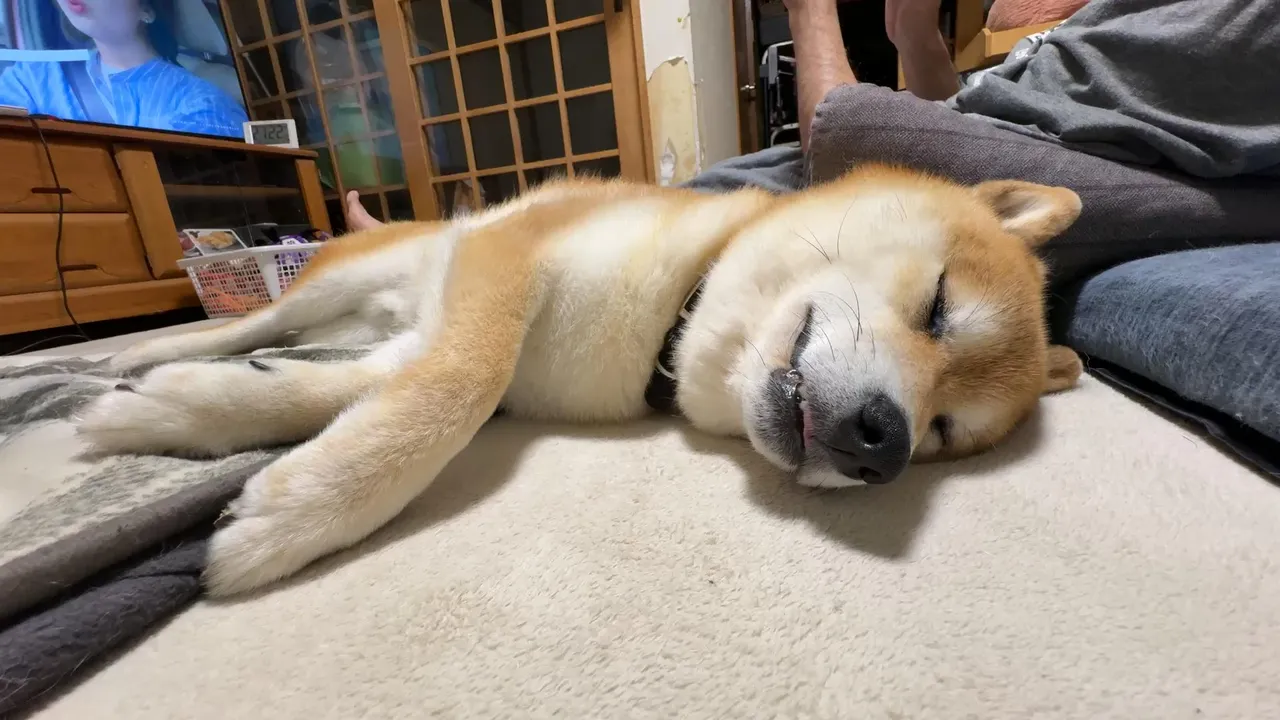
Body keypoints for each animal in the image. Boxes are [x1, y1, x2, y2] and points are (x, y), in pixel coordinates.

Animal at [78, 165, 1084, 595]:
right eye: (940, 308)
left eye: (943, 432)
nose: (884, 445)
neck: (671, 321)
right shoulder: (504, 264)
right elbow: (461, 386)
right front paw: (303, 514)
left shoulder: (441, 331)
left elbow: (359, 393)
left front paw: (179, 417)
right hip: (357, 271)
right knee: (260, 321)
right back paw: (130, 353)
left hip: (378, 310)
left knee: (310, 350)